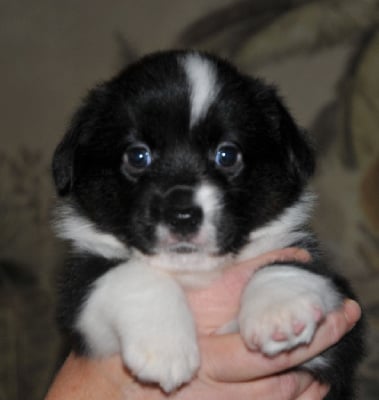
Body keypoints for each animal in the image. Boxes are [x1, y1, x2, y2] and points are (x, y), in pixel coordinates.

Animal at [52, 51, 366, 398]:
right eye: (137, 156)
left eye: (227, 155)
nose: (182, 214)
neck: (195, 274)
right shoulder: (78, 293)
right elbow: (130, 275)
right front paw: (164, 346)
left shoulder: (339, 338)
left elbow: (288, 265)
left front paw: (280, 309)